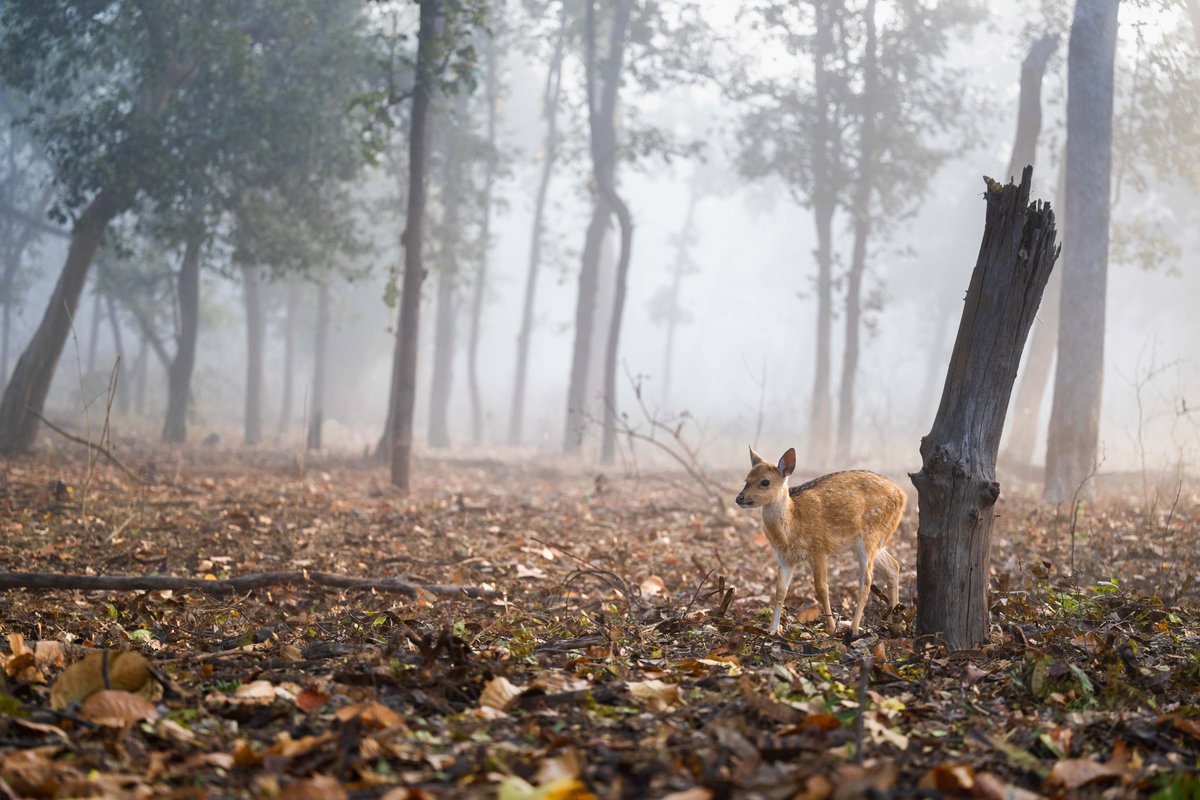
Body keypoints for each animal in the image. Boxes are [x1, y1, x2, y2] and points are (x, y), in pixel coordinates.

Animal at [734, 448, 902, 633]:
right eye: (746, 480)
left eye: (765, 482)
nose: (739, 498)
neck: (791, 527)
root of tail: (903, 495)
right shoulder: (785, 558)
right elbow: (780, 591)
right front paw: (772, 630)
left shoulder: (820, 549)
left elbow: (821, 589)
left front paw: (831, 628)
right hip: (874, 541)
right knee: (893, 566)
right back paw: (894, 623)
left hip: (869, 536)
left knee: (866, 580)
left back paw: (853, 629)